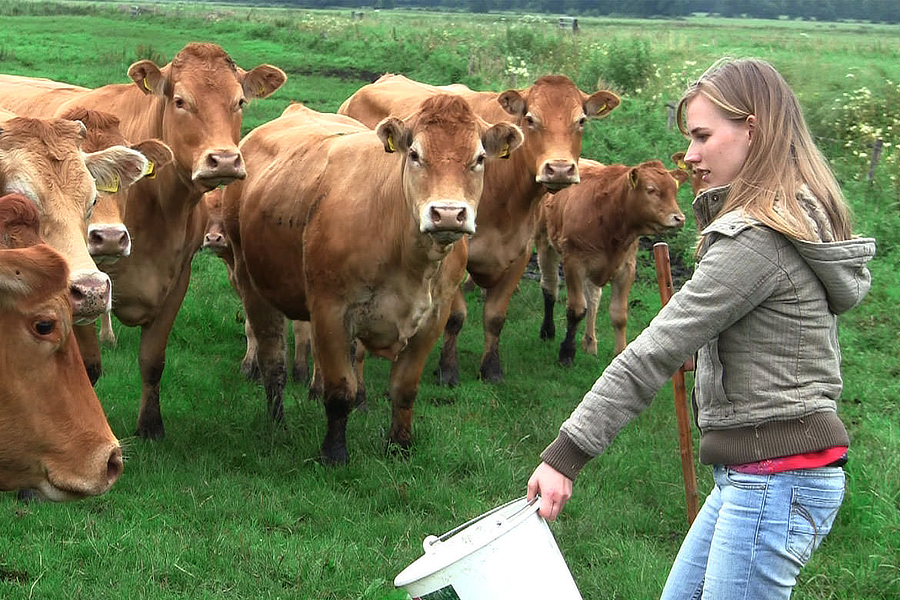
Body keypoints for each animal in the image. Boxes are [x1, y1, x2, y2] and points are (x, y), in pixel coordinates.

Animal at [221, 99, 524, 464]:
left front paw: (400, 445)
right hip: (253, 284)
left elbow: (405, 389)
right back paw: (277, 421)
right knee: (273, 362)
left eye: (479, 158)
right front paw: (334, 453)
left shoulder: (433, 318)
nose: (448, 214)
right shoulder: (331, 310)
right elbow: (340, 390)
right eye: (415, 154)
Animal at [338, 74, 620, 384]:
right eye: (531, 119)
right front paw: (447, 369)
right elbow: (455, 317)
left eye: (581, 120)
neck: (506, 193)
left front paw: (491, 368)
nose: (559, 169)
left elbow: (495, 317)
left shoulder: (520, 253)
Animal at [536, 159, 688, 364]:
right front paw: (566, 353)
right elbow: (576, 309)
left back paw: (589, 342)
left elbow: (618, 315)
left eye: (674, 189)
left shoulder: (626, 270)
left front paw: (620, 353)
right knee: (550, 287)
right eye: (651, 190)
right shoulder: (574, 263)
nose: (679, 218)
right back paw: (548, 331)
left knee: (592, 298)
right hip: (545, 243)